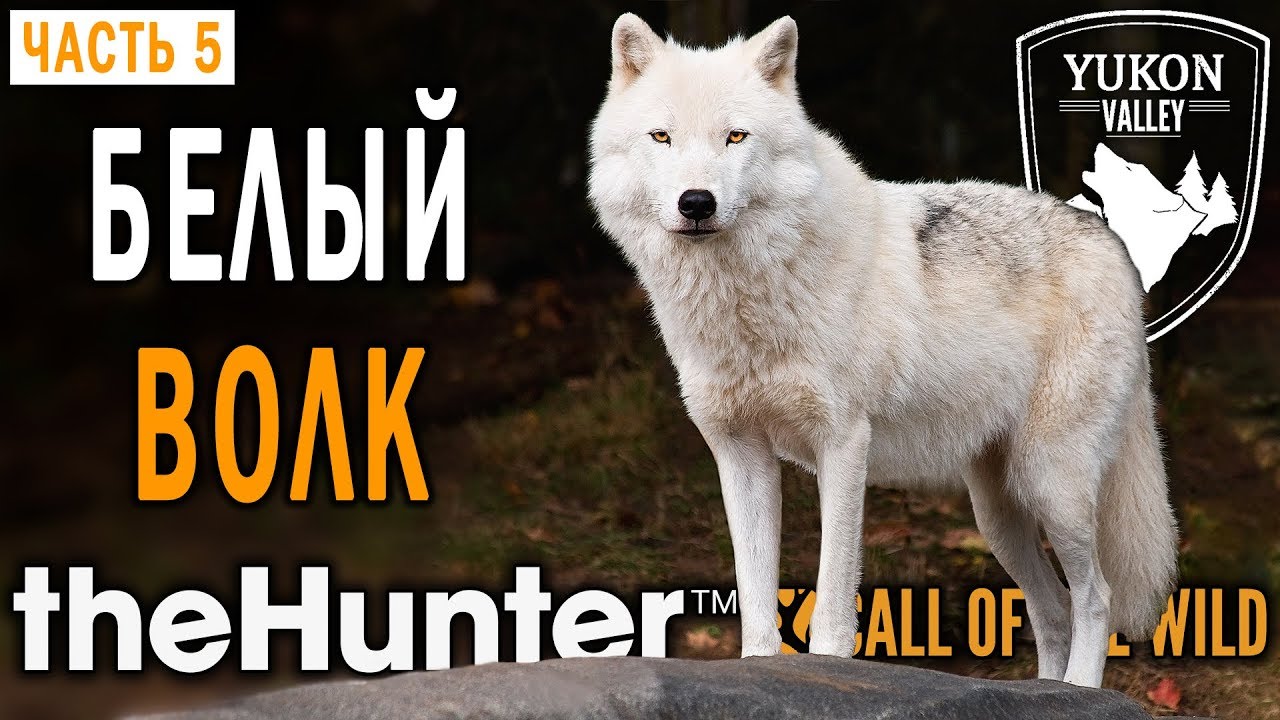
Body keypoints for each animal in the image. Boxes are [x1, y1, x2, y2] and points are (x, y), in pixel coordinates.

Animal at [587, 14, 1178, 687]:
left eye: (735, 136)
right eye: (661, 136)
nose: (696, 202)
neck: (748, 302)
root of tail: (1114, 245)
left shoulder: (844, 442)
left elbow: (833, 600)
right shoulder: (739, 454)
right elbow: (756, 600)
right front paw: (759, 669)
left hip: (1052, 484)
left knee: (1096, 598)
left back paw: (1079, 690)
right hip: (996, 514)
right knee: (1052, 613)